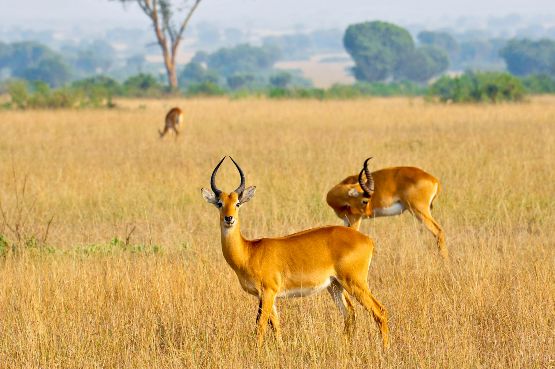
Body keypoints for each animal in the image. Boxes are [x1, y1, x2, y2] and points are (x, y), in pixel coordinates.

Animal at [202, 156, 388, 348]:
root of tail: (367, 239)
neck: (249, 251)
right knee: (349, 313)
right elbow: (275, 325)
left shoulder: (267, 292)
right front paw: (281, 350)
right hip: (335, 285)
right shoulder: (268, 296)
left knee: (379, 311)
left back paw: (385, 349)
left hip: (354, 282)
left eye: (237, 203)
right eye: (220, 203)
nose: (229, 218)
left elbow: (260, 325)